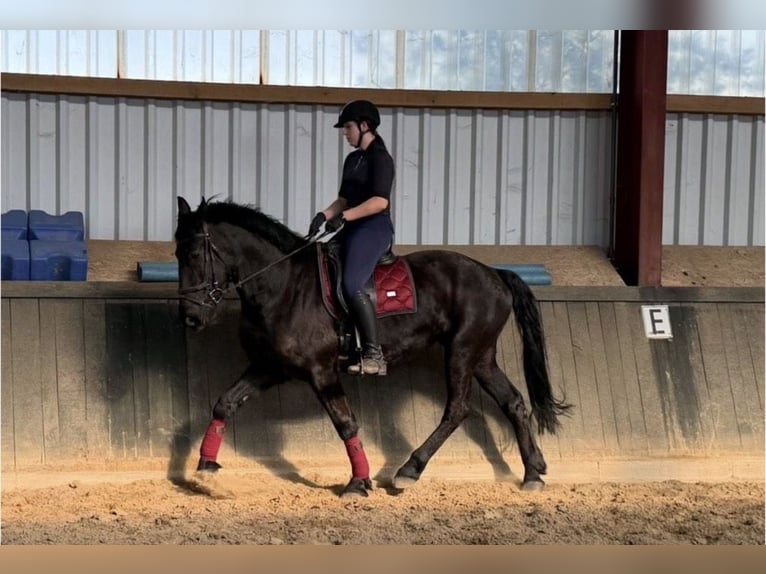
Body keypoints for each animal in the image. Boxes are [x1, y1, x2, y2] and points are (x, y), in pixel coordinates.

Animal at [174, 196, 572, 497]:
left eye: (193, 254)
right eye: (177, 254)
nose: (190, 318)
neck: (284, 286)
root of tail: (494, 273)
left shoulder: (321, 373)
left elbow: (346, 425)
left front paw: (358, 482)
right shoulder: (268, 367)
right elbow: (225, 403)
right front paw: (205, 469)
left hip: (461, 351)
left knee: (457, 410)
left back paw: (409, 470)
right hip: (482, 356)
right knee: (513, 402)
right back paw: (533, 473)